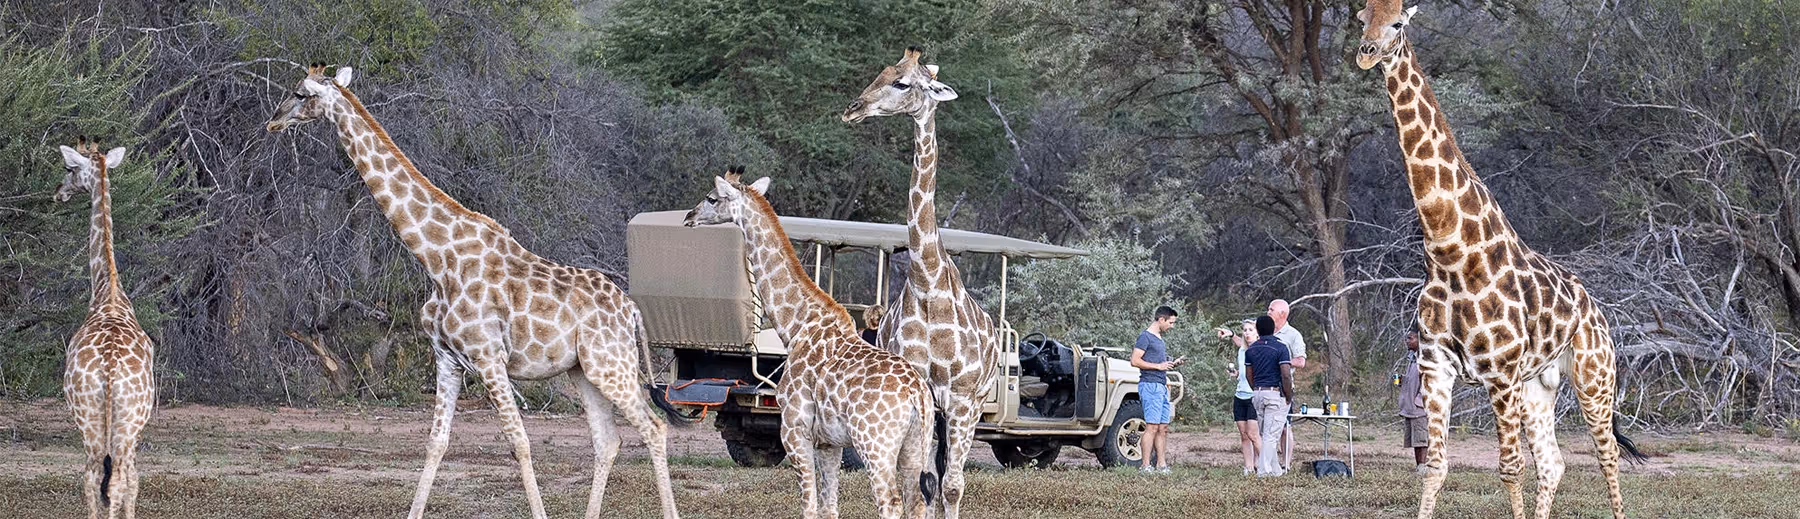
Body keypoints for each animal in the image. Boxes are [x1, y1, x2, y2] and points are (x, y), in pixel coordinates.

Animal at [56, 136, 155, 519]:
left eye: (70, 169)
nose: (59, 193)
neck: (108, 291)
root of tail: (110, 371)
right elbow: (133, 482)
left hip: (94, 421)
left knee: (96, 476)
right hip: (123, 423)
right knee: (112, 478)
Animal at [264, 64, 679, 519]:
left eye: (299, 93)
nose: (273, 121)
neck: (437, 259)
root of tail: (632, 310)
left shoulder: (488, 355)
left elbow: (519, 443)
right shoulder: (447, 359)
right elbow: (436, 443)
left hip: (611, 364)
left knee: (654, 428)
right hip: (583, 370)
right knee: (608, 440)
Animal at [684, 167, 936, 519]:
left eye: (711, 198)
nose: (689, 217)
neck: (797, 328)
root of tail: (916, 395)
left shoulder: (794, 430)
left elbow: (810, 507)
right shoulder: (829, 442)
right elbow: (829, 508)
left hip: (875, 445)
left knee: (891, 503)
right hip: (915, 447)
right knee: (917, 503)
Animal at [842, 47, 999, 519]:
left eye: (903, 83)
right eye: (880, 73)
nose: (852, 109)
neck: (928, 282)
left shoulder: (963, 398)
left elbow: (952, 487)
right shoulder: (922, 394)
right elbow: (924, 485)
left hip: (971, 406)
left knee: (950, 479)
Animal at [1354, 4, 1648, 519]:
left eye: (1398, 23)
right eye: (1360, 17)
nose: (1367, 53)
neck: (1450, 251)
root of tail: (1596, 309)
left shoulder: (1499, 373)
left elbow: (1510, 469)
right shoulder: (1435, 367)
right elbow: (1435, 467)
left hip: (1594, 375)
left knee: (1607, 454)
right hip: (1539, 386)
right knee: (1554, 464)